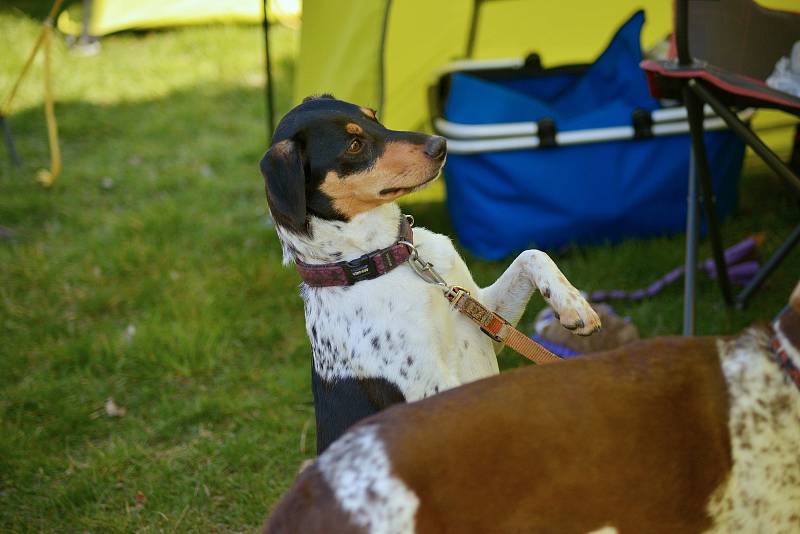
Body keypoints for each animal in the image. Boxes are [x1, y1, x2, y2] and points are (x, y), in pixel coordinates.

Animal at [260, 95, 596, 452]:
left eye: (373, 116)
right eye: (354, 145)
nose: (441, 144)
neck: (388, 259)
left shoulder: (485, 317)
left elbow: (532, 255)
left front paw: (574, 306)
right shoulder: (431, 392)